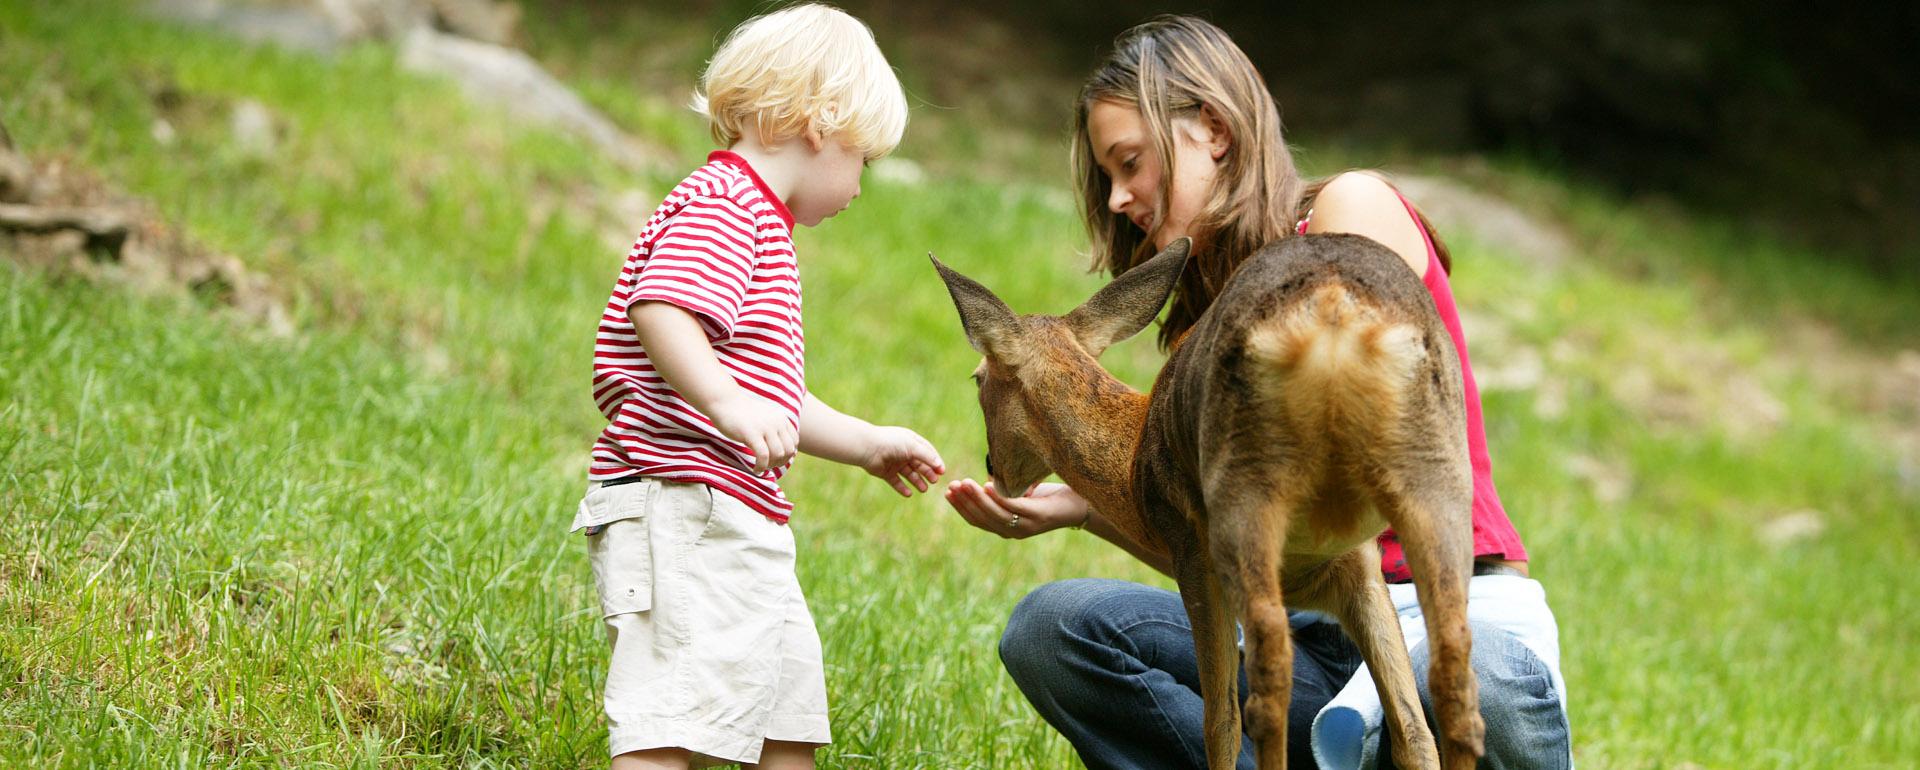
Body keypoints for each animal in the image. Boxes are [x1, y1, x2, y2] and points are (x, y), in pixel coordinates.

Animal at [929, 234, 1482, 768]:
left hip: (1245, 492)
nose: (994, 470)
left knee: (1264, 692)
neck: (1135, 463)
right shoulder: (1360, 564)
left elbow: (1219, 720)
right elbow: (1410, 727)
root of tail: (1333, 311)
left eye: (978, 378)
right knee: (1450, 684)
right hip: (1436, 478)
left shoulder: (1191, 551)